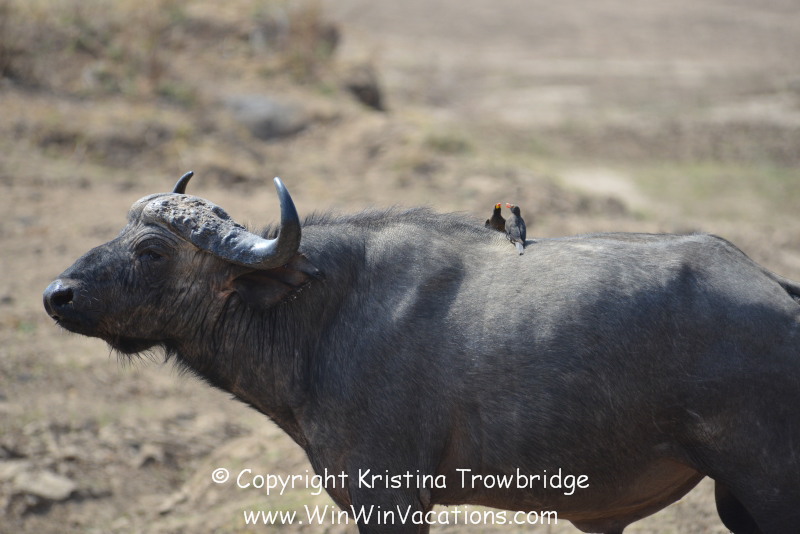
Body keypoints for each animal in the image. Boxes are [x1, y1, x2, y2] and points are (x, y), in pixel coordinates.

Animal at [44, 174, 800, 533]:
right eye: (121, 232)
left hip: (767, 488)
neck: (324, 315)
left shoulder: (392, 498)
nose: (58, 293)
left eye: (152, 250)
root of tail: (781, 294)